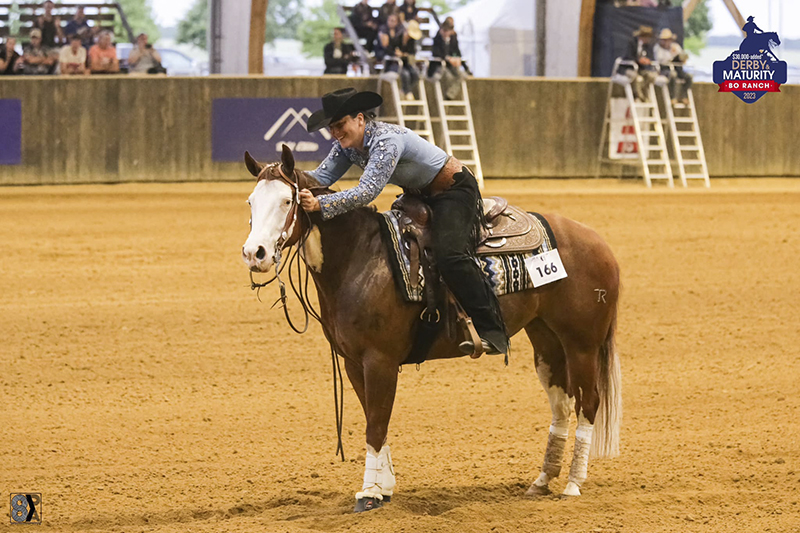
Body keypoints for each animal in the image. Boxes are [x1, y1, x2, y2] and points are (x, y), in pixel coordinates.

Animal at [241, 145, 620, 512]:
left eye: (287, 201)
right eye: (251, 201)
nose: (254, 253)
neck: (361, 256)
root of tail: (599, 242)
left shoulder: (379, 361)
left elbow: (376, 424)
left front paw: (369, 494)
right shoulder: (352, 363)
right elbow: (374, 419)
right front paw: (384, 487)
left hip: (582, 344)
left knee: (589, 403)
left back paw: (573, 483)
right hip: (545, 338)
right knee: (562, 404)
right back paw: (542, 481)